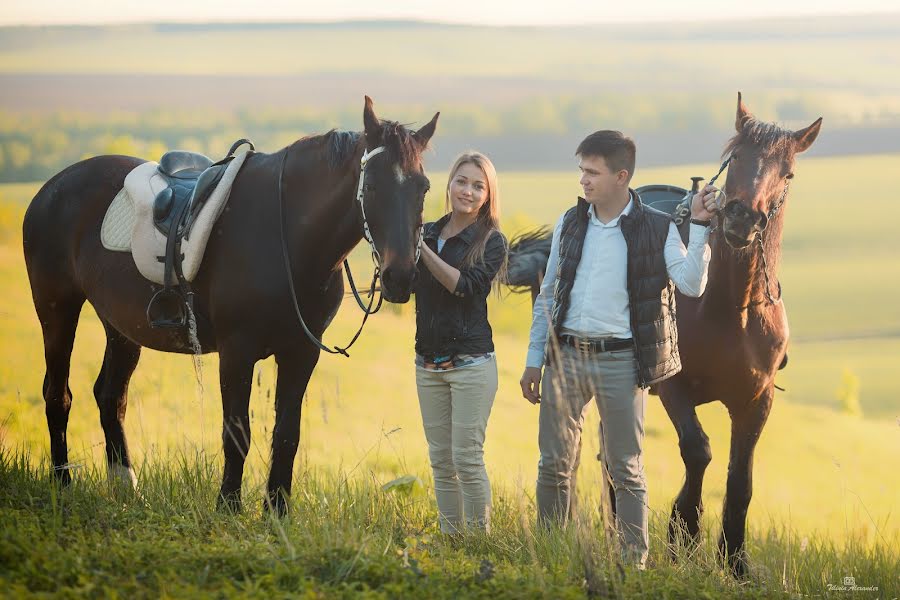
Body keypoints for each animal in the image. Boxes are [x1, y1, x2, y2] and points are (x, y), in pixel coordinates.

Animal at [22, 96, 440, 512]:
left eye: (423, 187)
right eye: (372, 185)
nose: (401, 276)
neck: (287, 234)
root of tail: (52, 188)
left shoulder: (301, 351)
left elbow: (287, 434)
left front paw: (277, 511)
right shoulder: (237, 351)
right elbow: (237, 433)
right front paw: (228, 507)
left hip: (122, 328)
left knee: (111, 397)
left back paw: (126, 487)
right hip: (56, 310)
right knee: (58, 395)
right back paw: (62, 484)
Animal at [656, 94, 820, 576]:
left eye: (788, 173)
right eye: (736, 158)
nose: (742, 218)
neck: (732, 309)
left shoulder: (756, 399)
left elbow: (740, 478)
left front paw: (735, 560)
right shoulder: (672, 385)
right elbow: (698, 451)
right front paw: (683, 535)